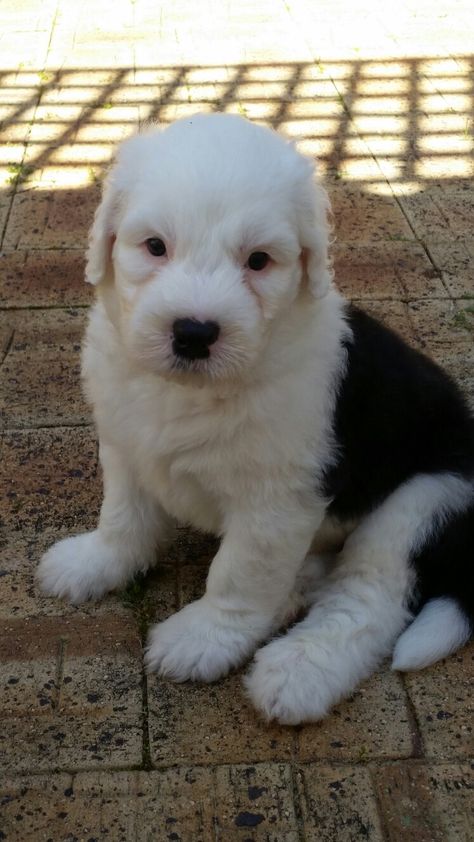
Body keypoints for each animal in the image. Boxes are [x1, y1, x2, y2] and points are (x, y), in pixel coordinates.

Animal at [38, 115, 474, 724]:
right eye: (155, 246)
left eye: (259, 260)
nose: (193, 333)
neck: (193, 392)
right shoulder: (126, 445)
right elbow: (124, 516)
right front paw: (95, 563)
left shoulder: (277, 501)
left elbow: (239, 573)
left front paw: (204, 637)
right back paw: (297, 591)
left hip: (423, 500)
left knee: (371, 598)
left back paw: (300, 670)